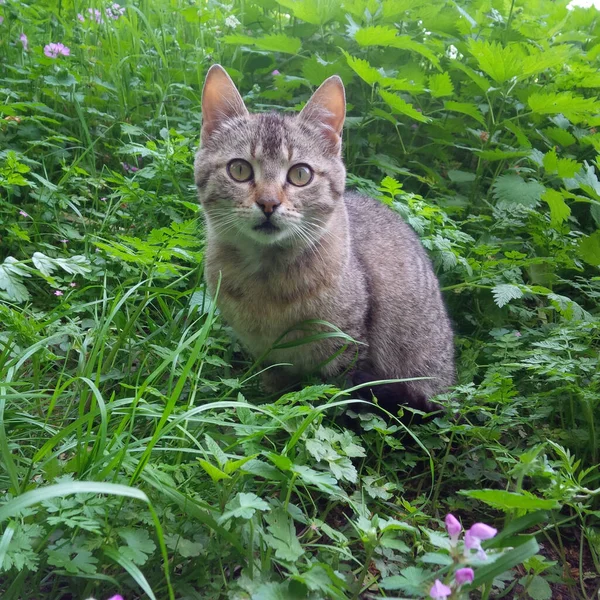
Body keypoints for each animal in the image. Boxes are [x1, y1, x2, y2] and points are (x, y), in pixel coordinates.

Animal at [195, 64, 452, 412]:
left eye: (300, 174)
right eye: (239, 170)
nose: (268, 203)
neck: (267, 282)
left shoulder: (348, 349)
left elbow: (337, 403)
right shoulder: (266, 354)